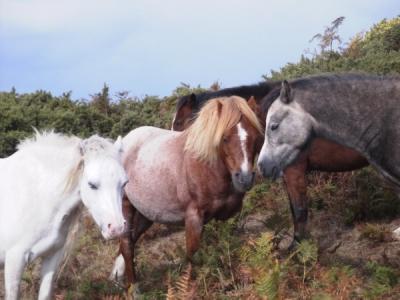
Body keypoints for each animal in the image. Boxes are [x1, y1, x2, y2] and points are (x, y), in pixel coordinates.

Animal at [111, 96, 262, 284]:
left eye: (256, 138)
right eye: (225, 138)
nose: (244, 178)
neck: (206, 166)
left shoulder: (225, 217)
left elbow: (224, 246)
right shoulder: (193, 218)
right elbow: (193, 257)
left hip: (147, 213)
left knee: (131, 240)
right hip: (126, 206)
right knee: (126, 244)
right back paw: (133, 286)